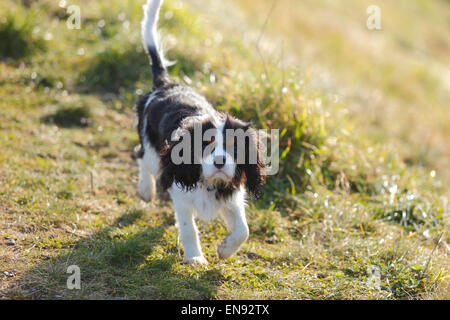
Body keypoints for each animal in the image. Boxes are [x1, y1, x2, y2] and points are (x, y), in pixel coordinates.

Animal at [135, 0, 266, 264]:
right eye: (206, 144)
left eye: (235, 146)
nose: (219, 161)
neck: (210, 182)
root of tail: (166, 84)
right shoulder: (181, 196)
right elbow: (189, 228)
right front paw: (195, 258)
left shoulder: (232, 197)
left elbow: (243, 230)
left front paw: (225, 250)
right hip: (155, 154)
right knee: (141, 156)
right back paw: (145, 190)